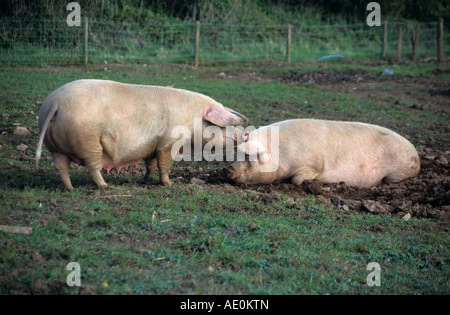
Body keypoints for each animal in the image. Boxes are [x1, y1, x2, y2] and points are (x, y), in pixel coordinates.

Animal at [36, 80, 248, 191]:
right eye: (224, 126)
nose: (245, 133)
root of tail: (55, 104)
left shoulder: (153, 145)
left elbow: (151, 164)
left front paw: (145, 180)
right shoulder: (167, 142)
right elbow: (164, 163)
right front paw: (169, 184)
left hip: (56, 147)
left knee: (61, 166)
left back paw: (70, 188)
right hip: (89, 143)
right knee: (92, 167)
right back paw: (105, 186)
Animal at [227, 118, 420, 188]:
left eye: (249, 156)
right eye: (237, 154)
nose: (227, 170)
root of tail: (416, 153)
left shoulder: (311, 163)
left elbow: (297, 179)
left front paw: (312, 182)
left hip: (398, 172)